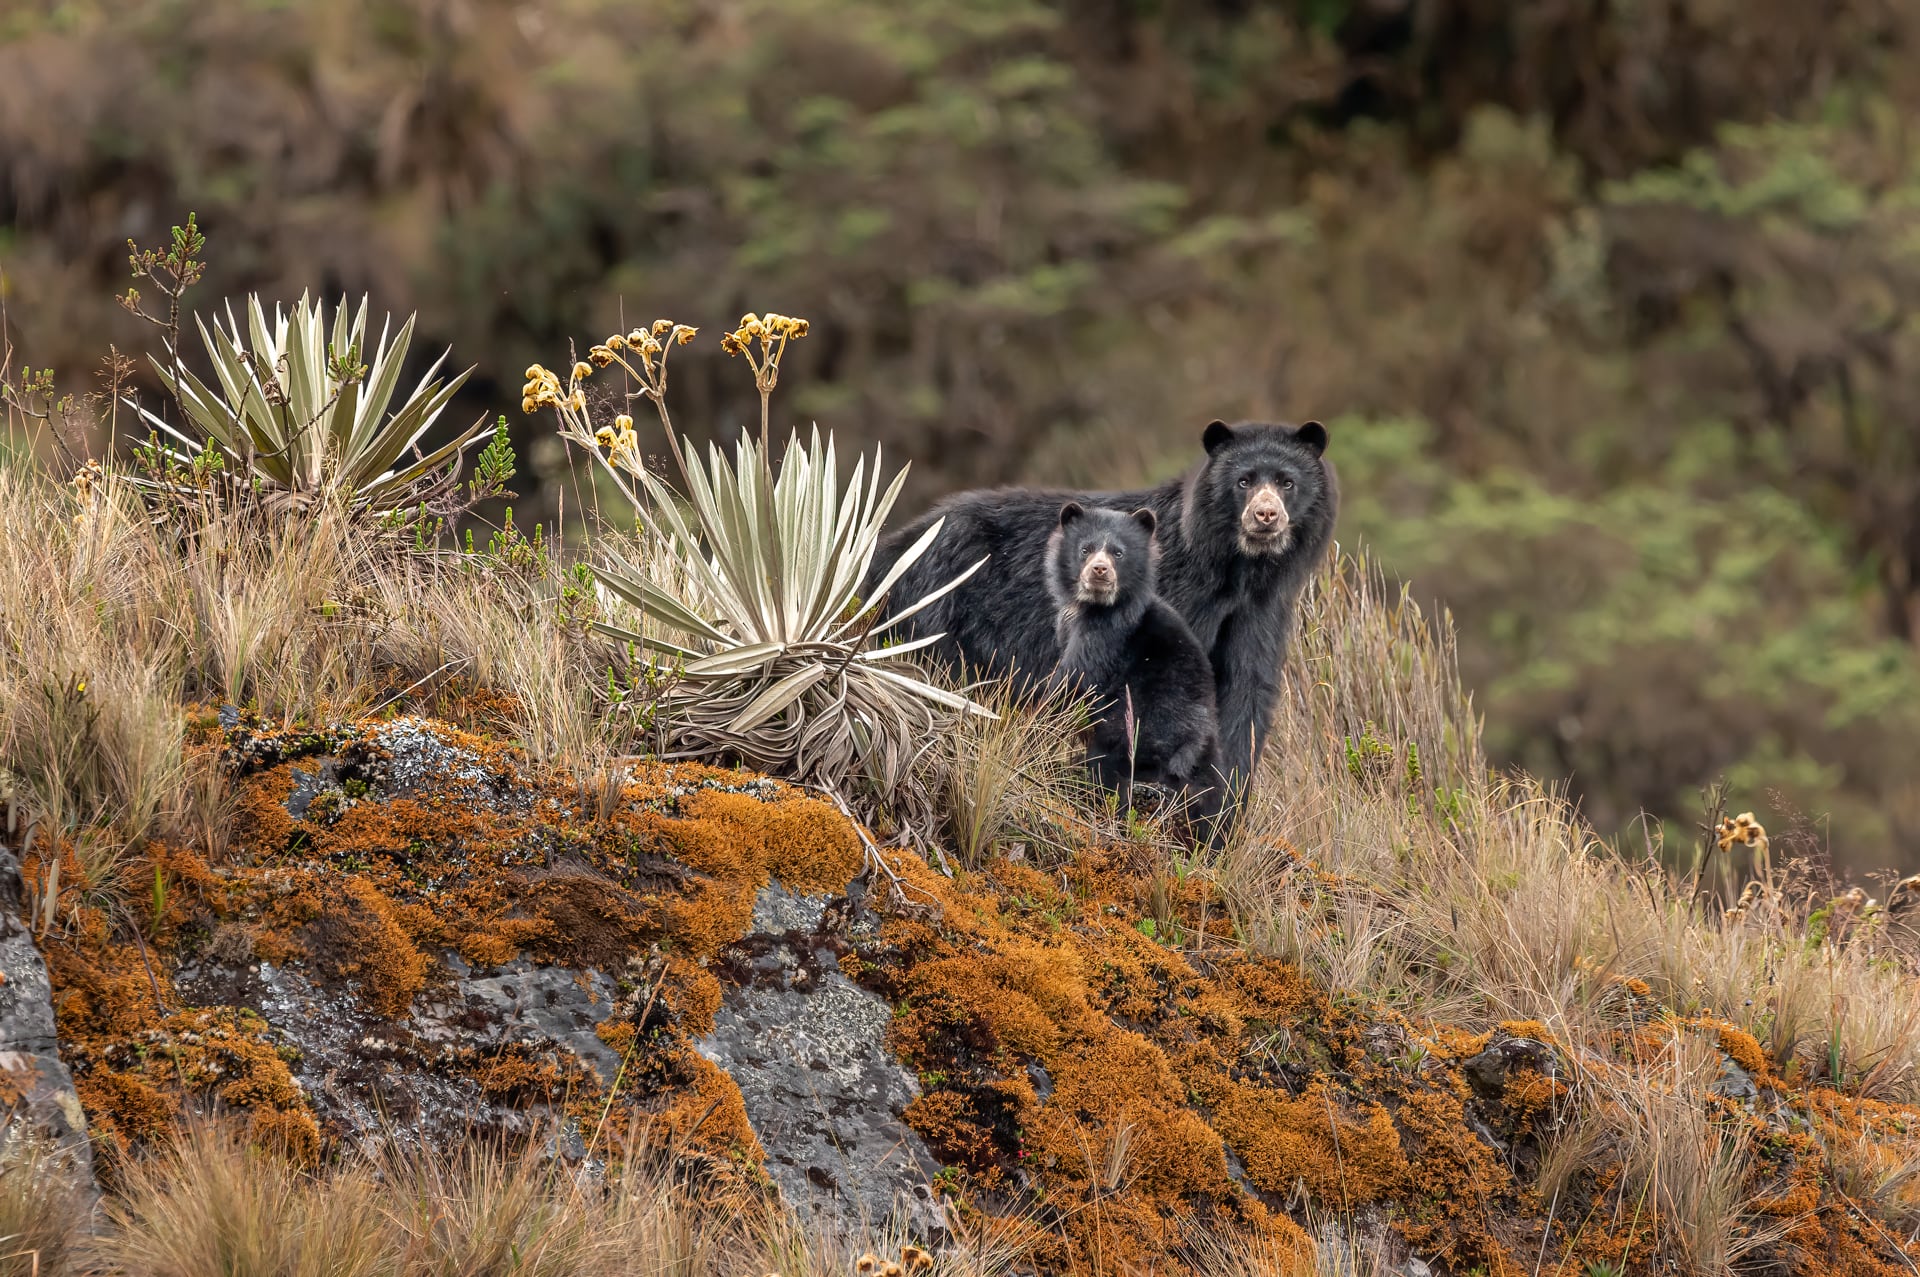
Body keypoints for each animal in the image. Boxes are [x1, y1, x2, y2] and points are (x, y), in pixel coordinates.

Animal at [1045, 502, 1223, 831]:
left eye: (1118, 553)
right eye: (1086, 549)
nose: (1099, 570)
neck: (1093, 606)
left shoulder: (1106, 635)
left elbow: (1075, 680)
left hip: (1140, 723)